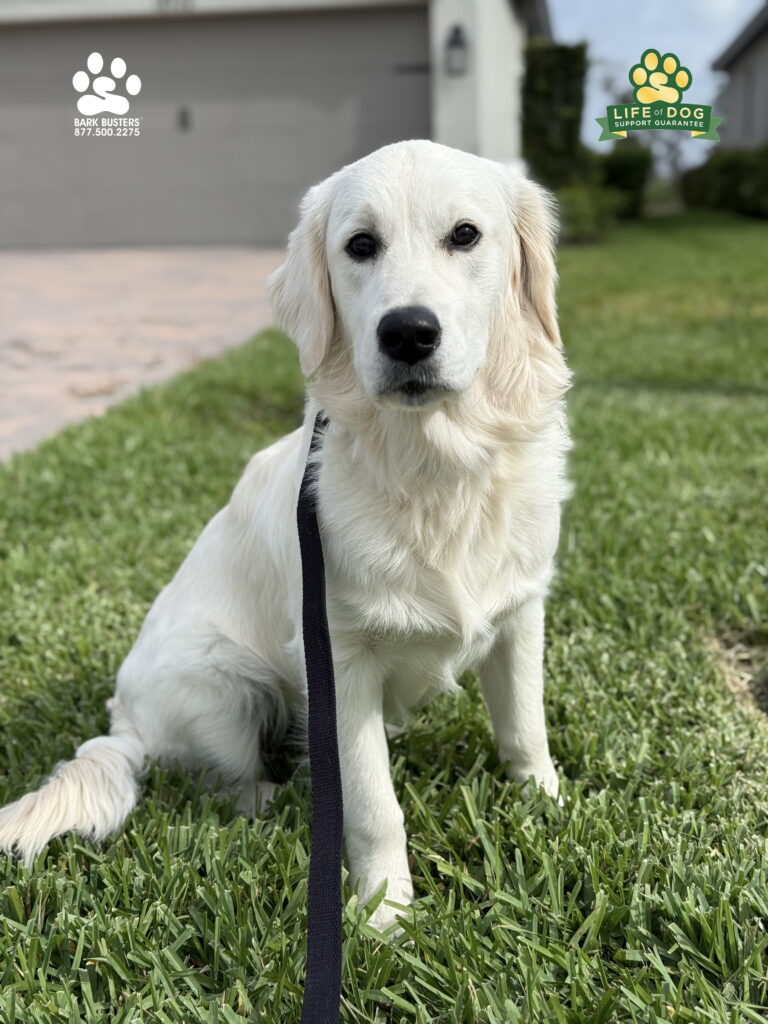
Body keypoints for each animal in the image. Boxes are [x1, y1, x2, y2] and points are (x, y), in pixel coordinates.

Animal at [0, 140, 573, 933]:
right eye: (360, 245)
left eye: (466, 235)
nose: (408, 332)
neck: (435, 466)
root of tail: (125, 722)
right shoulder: (340, 658)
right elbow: (372, 804)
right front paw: (385, 914)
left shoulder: (520, 613)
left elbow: (525, 729)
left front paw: (546, 807)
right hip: (224, 683)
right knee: (222, 780)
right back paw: (276, 797)